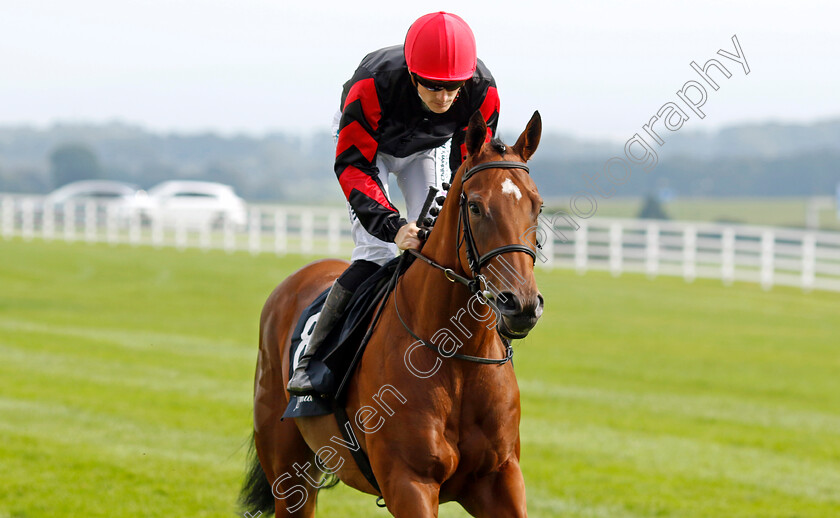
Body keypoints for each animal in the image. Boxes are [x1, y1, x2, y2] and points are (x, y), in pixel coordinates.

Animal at [243, 108, 544, 516]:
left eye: (537, 205)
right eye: (476, 206)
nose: (522, 304)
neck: (456, 358)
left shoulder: (500, 480)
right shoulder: (409, 481)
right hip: (288, 471)